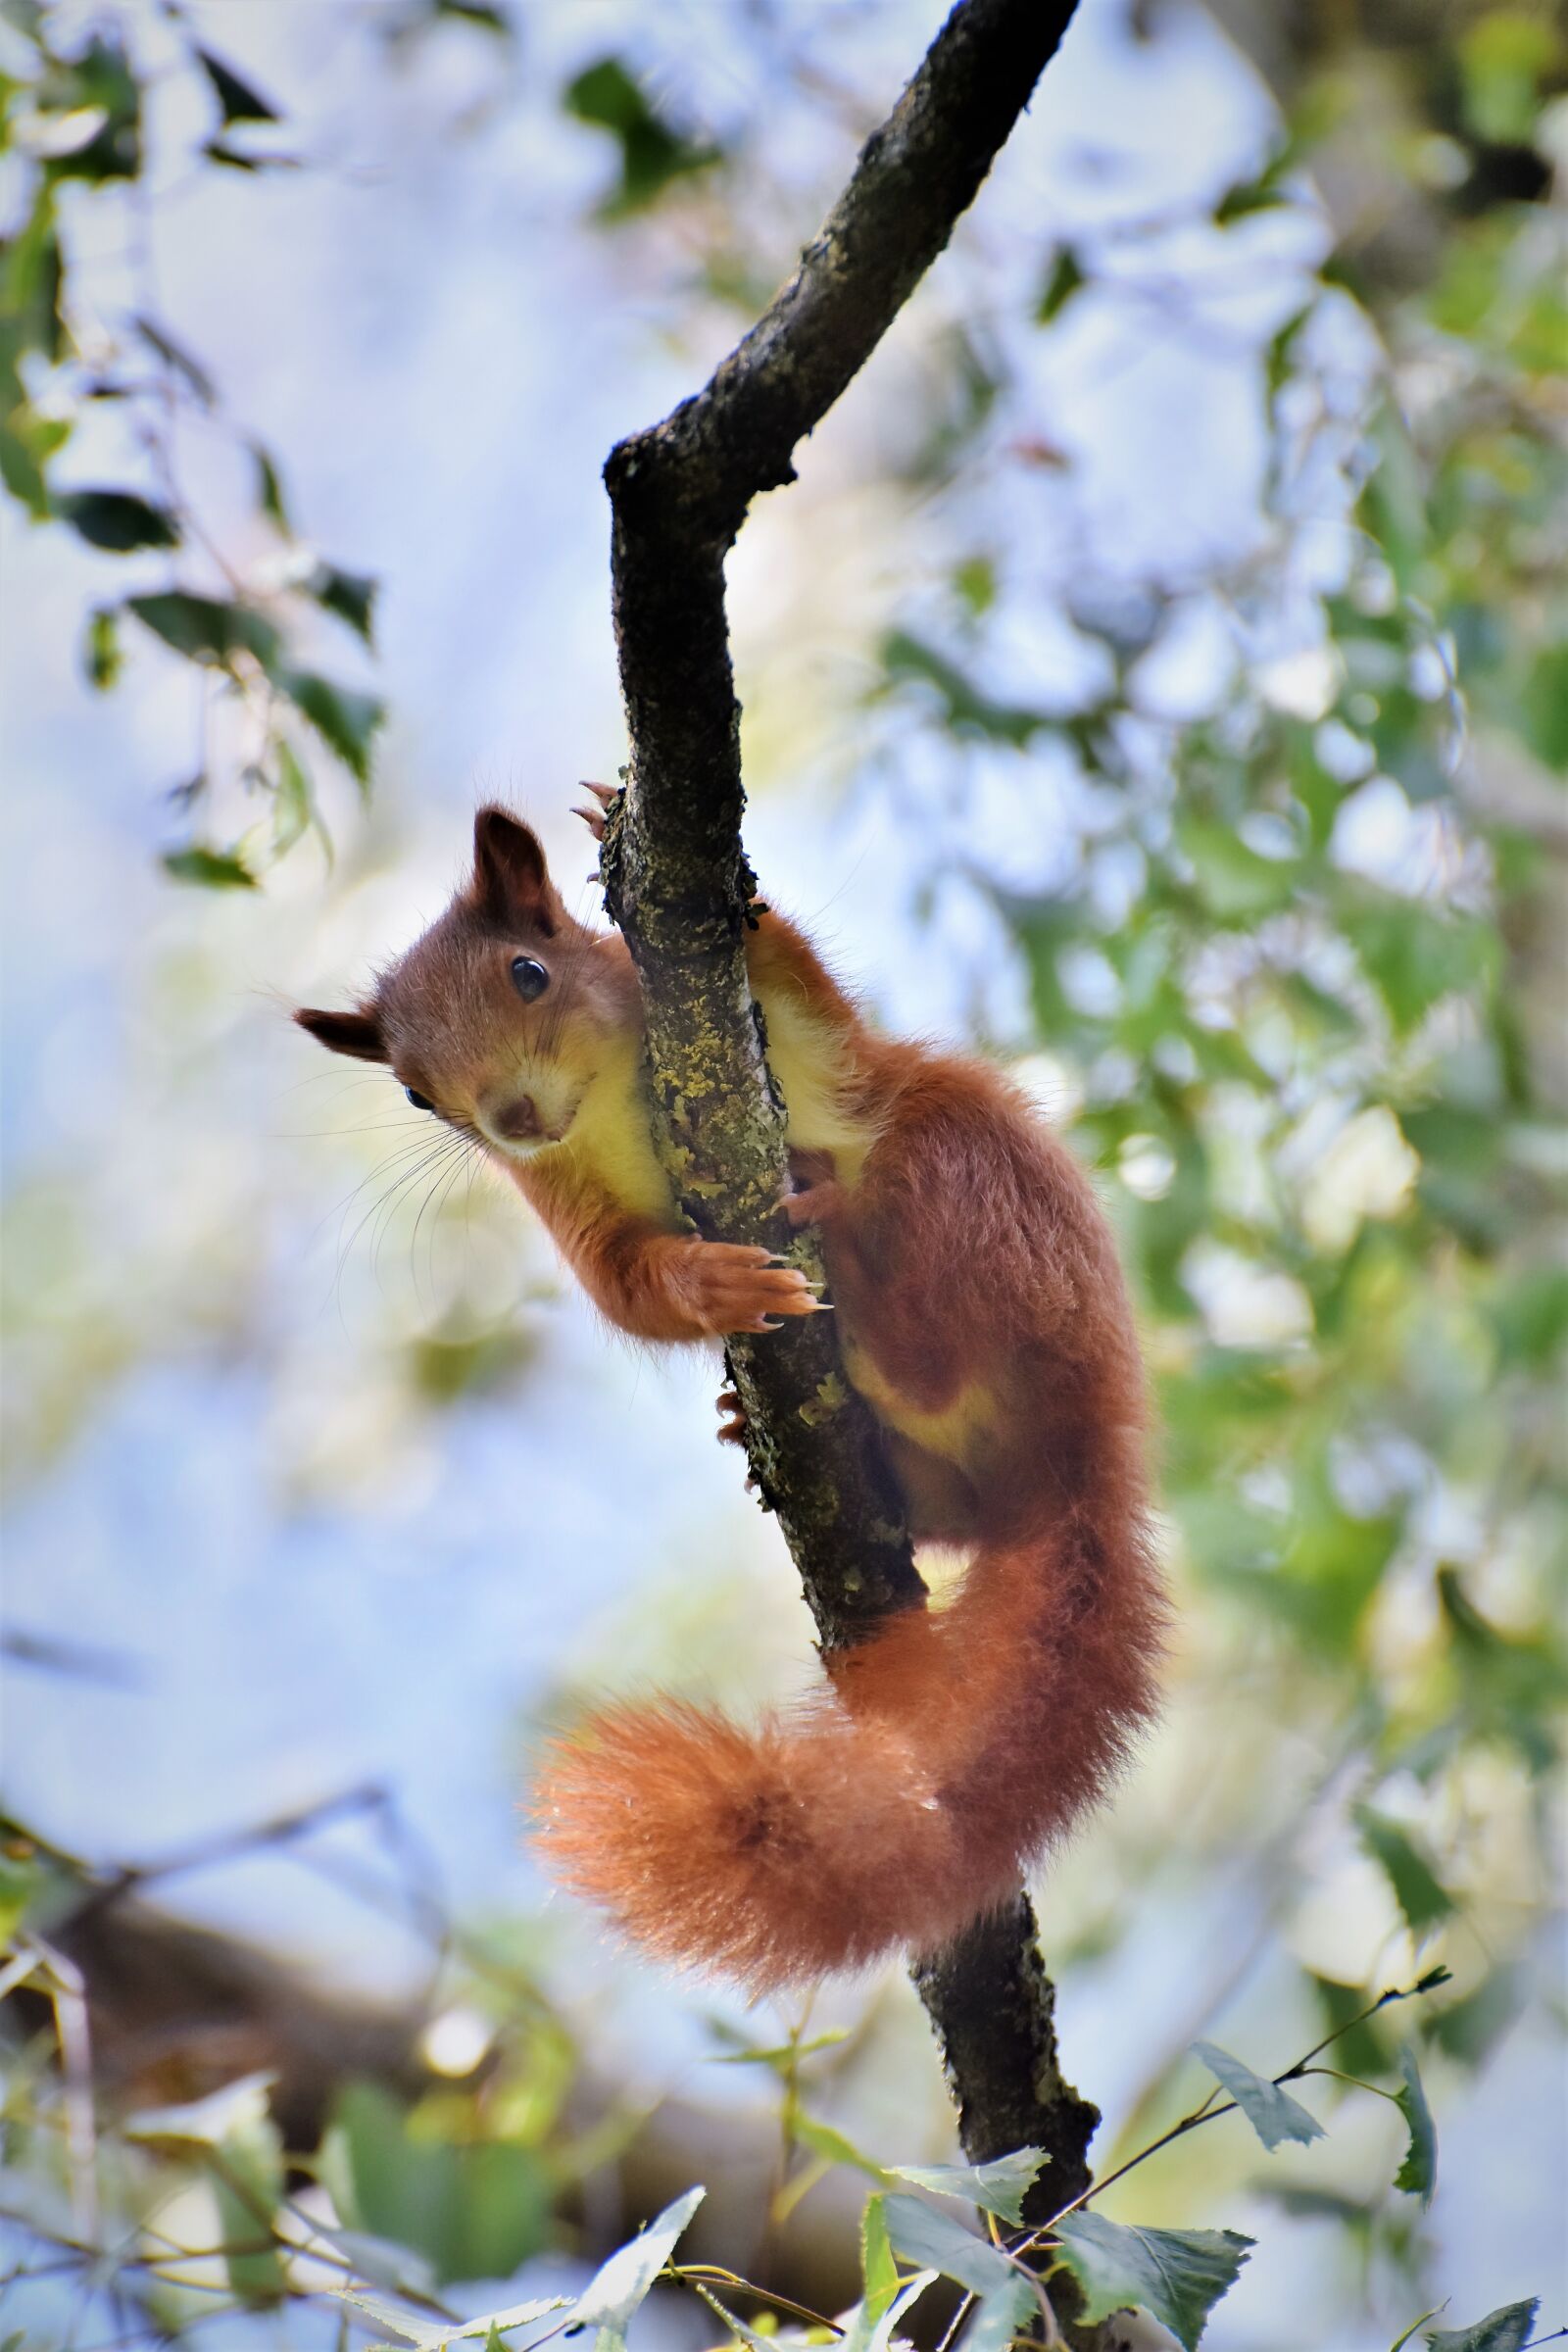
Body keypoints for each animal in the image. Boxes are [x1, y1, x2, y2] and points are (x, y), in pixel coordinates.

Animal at [297, 800, 1166, 1992]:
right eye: (416, 1094)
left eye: (529, 971)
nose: (513, 1115)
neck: (602, 1109)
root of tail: (1088, 1447)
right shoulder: (572, 1204)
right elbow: (633, 1293)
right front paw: (714, 1290)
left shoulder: (799, 1051)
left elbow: (807, 1002)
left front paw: (637, 836)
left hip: (972, 1178)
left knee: (927, 1280)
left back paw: (857, 1269)